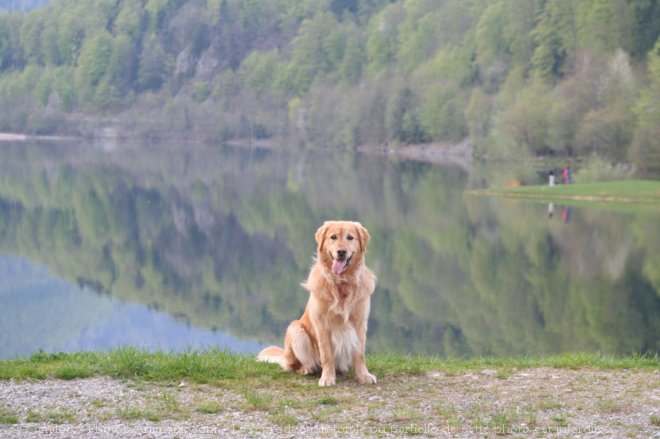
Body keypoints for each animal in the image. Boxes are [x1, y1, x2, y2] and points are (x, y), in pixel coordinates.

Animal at [260, 222, 378, 386]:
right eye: (333, 237)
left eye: (350, 237)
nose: (341, 252)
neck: (341, 283)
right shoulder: (322, 324)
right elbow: (326, 355)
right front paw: (327, 378)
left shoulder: (360, 323)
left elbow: (360, 354)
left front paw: (363, 375)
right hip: (296, 329)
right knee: (294, 365)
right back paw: (306, 369)